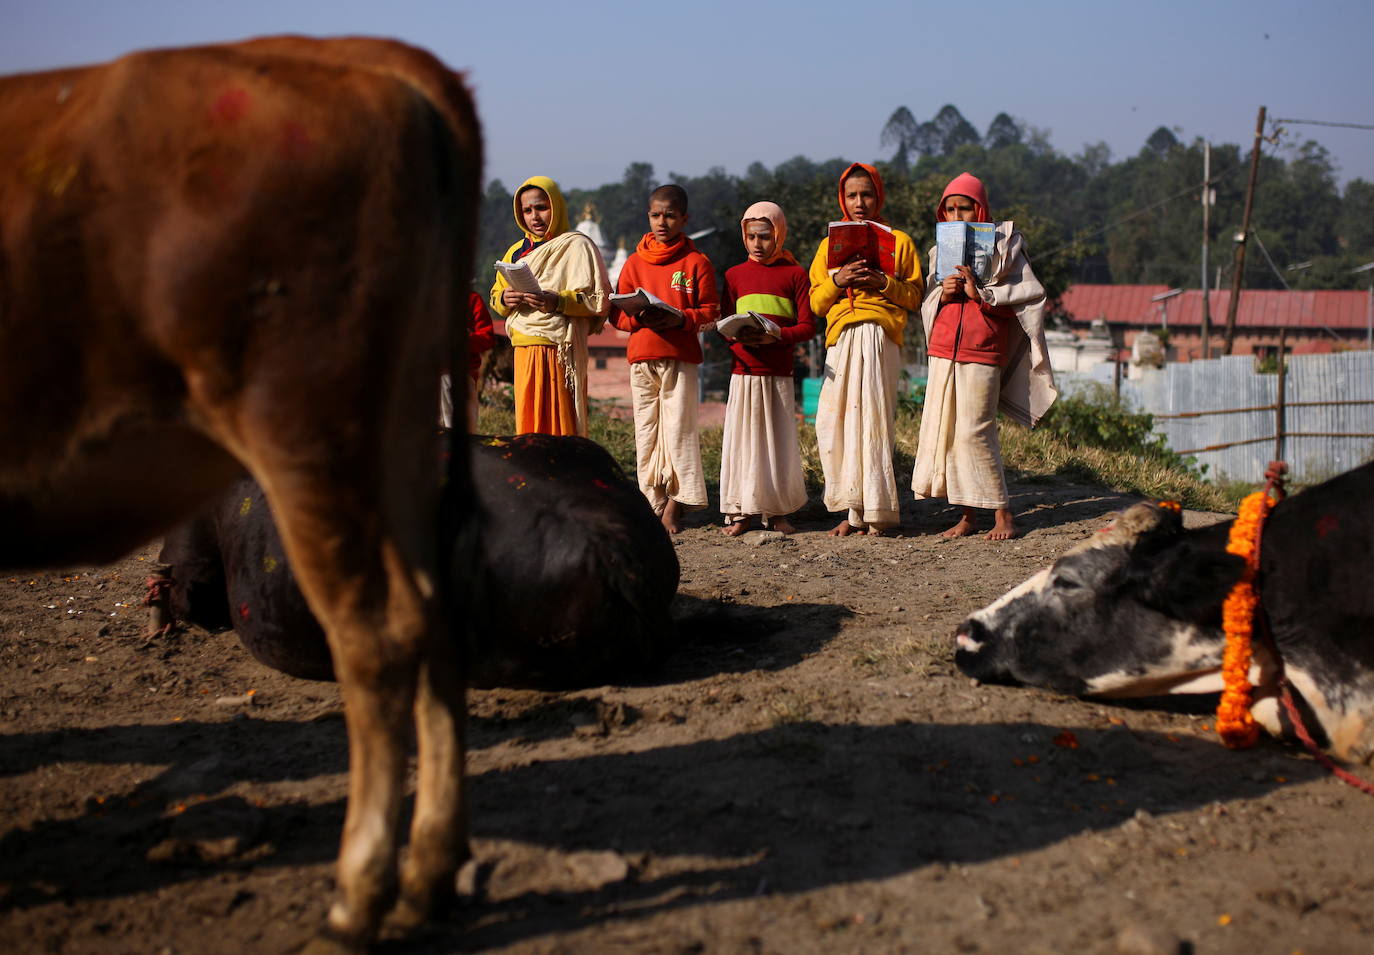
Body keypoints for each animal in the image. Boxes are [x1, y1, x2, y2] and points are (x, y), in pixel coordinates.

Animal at [1, 35, 483, 950]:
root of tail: (380, 60)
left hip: (303, 427)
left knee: (378, 633)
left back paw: (358, 894)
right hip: (401, 425)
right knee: (437, 613)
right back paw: (426, 879)